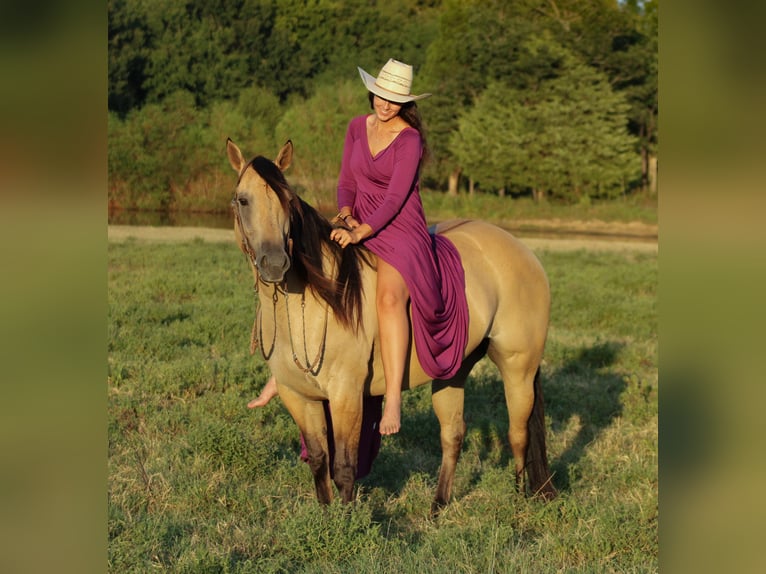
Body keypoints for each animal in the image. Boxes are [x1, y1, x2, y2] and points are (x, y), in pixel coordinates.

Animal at [226, 139, 557, 512]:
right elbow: (319, 461)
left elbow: (344, 467)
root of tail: (523, 251)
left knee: (519, 433)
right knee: (453, 434)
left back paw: (518, 500)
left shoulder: (346, 395)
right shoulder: (298, 396)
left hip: (518, 368)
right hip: (453, 370)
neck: (313, 302)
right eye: (243, 200)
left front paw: (347, 521)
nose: (274, 263)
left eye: (288, 200)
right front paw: (325, 516)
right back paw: (437, 507)